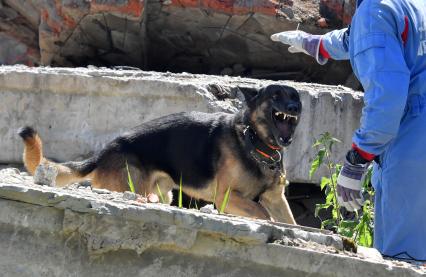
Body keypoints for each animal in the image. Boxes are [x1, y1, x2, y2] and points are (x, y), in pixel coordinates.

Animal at [18, 83, 302, 222]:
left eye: (296, 97)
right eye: (275, 95)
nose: (295, 107)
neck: (256, 142)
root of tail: (104, 151)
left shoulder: (276, 199)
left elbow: (290, 222)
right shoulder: (227, 197)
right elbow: (263, 214)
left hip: (163, 194)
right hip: (134, 188)